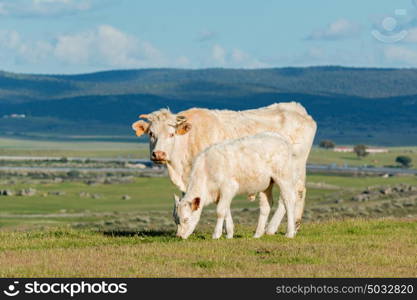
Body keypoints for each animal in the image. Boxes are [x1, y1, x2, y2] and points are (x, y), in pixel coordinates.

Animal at [132, 102, 316, 233]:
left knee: (294, 194)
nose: (158, 154)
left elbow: (223, 206)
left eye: (171, 134)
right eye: (151, 134)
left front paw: (226, 231)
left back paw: (278, 228)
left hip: (292, 170)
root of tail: (298, 109)